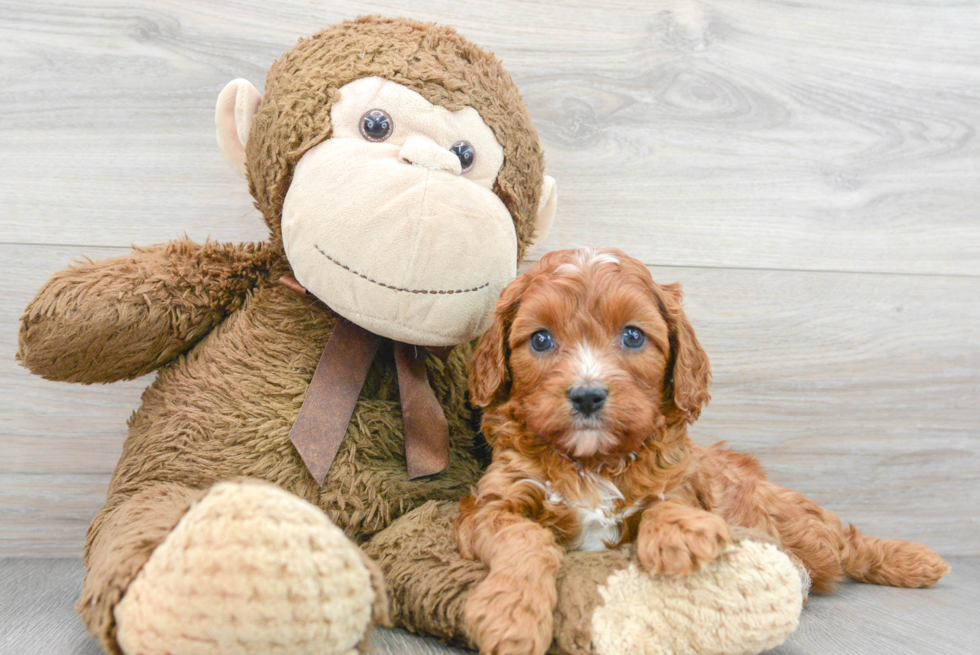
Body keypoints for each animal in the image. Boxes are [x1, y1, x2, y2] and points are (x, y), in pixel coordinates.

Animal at [458, 247, 948, 655]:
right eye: (540, 340)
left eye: (633, 336)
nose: (587, 396)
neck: (593, 461)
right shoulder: (493, 503)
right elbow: (524, 539)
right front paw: (510, 616)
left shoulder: (683, 480)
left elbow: (666, 501)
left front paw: (680, 533)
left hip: (796, 523)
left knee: (846, 542)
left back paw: (916, 560)